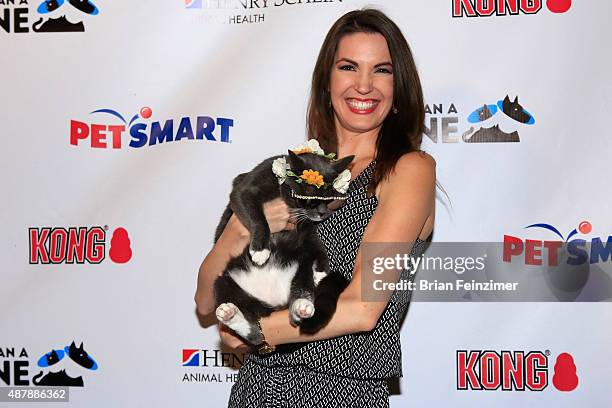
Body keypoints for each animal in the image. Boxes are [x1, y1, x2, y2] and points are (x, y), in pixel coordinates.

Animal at [214, 147, 354, 344]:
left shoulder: (306, 227)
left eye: (328, 200)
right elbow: (258, 218)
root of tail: (274, 303)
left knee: (297, 300)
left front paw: (321, 271)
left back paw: (302, 306)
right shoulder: (244, 190)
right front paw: (260, 250)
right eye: (308, 199)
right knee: (254, 334)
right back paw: (230, 315)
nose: (321, 213)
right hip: (223, 282)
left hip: (302, 268)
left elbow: (315, 241)